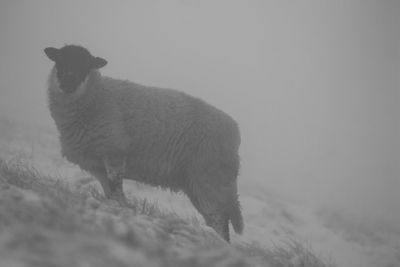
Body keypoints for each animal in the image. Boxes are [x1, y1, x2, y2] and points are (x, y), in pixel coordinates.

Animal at [44, 44, 244, 243]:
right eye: (60, 60)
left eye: (86, 65)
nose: (68, 82)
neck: (98, 96)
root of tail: (235, 131)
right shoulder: (96, 165)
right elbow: (109, 190)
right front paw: (116, 206)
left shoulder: (114, 151)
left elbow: (116, 186)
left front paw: (121, 207)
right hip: (198, 185)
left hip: (211, 180)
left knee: (219, 221)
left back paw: (220, 243)